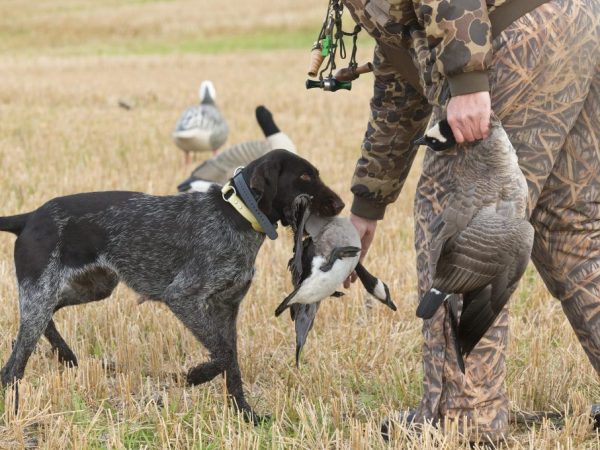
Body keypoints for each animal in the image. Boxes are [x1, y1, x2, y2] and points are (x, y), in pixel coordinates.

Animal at [0, 150, 342, 422]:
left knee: (43, 321)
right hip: (43, 292)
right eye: (304, 177)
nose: (340, 204)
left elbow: (232, 361)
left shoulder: (227, 307)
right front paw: (196, 375)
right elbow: (223, 353)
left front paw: (245, 414)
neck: (238, 214)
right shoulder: (183, 297)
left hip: (93, 287)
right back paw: (14, 411)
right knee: (13, 366)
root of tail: (29, 218)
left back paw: (65, 354)